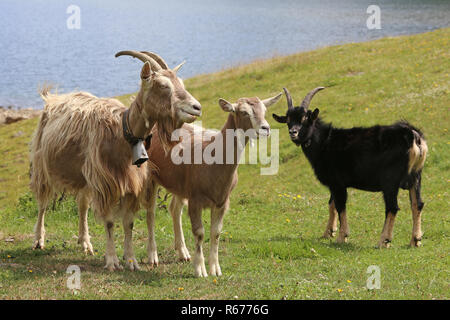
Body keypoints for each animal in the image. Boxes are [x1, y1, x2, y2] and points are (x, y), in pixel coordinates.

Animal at [29, 51, 201, 272]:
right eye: (163, 85)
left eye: (180, 82)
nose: (196, 107)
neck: (122, 134)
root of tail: (52, 98)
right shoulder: (106, 183)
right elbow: (110, 223)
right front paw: (112, 260)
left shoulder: (131, 185)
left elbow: (128, 223)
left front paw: (131, 261)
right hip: (42, 165)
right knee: (42, 202)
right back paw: (38, 240)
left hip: (85, 177)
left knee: (82, 205)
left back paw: (85, 243)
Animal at [142, 91, 280, 276]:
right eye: (243, 112)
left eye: (264, 110)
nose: (266, 128)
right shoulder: (195, 199)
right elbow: (199, 233)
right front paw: (200, 269)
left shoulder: (222, 201)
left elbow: (216, 233)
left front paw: (215, 268)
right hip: (150, 176)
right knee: (150, 213)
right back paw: (153, 256)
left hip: (180, 185)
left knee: (174, 209)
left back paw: (183, 252)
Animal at [272, 87, 428, 248]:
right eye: (288, 121)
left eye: (304, 119)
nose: (293, 132)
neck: (324, 142)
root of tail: (413, 136)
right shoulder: (334, 183)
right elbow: (331, 204)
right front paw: (328, 232)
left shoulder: (337, 182)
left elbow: (340, 206)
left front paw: (342, 237)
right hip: (416, 176)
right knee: (417, 204)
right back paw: (415, 240)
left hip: (390, 180)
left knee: (392, 207)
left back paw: (383, 241)